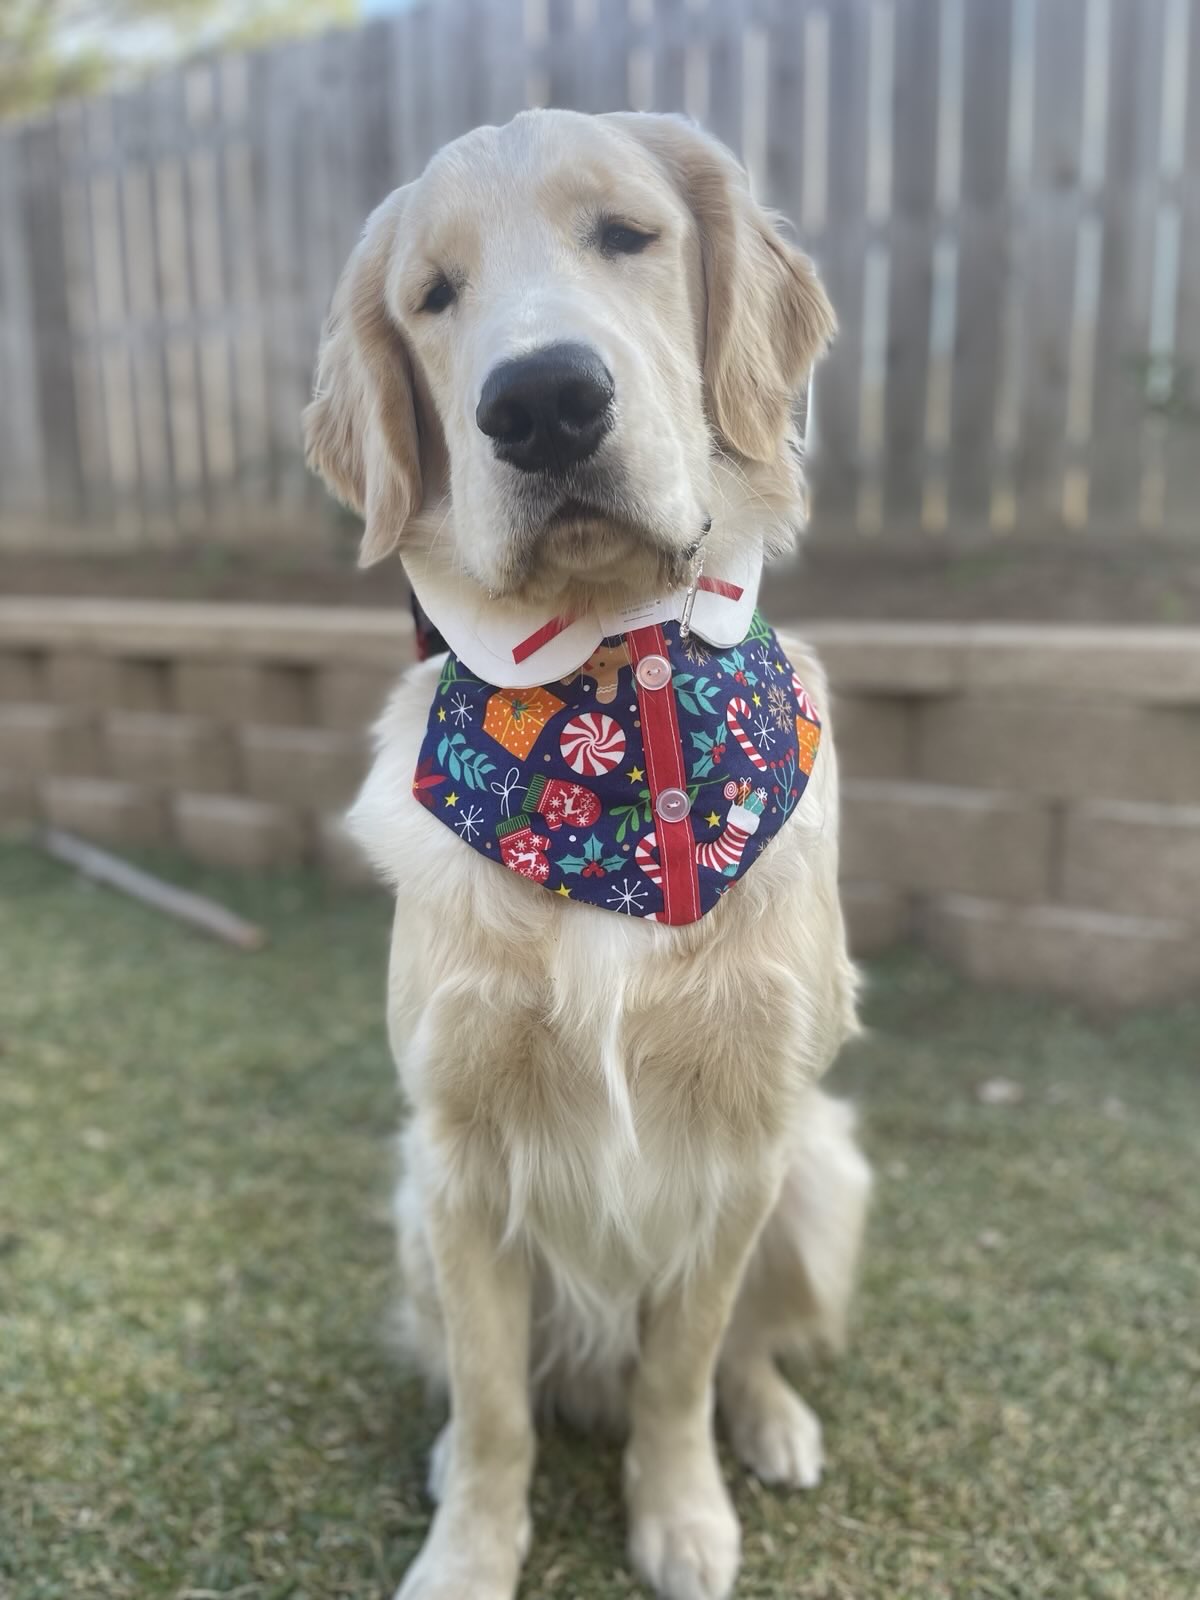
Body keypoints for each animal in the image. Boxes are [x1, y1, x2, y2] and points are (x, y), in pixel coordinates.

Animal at [305, 109, 876, 1600]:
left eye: (628, 234)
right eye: (433, 297)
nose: (544, 401)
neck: (605, 701)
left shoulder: (742, 1142)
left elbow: (683, 1367)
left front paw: (681, 1515)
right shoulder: (457, 1155)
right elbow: (498, 1401)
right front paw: (467, 1550)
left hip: (823, 1168)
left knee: (750, 1346)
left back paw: (774, 1425)